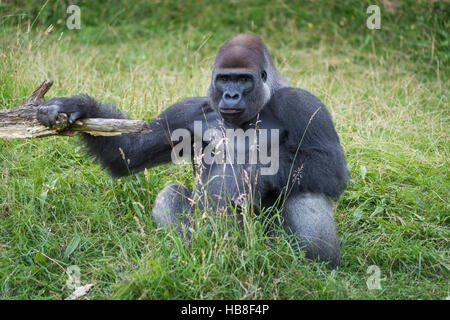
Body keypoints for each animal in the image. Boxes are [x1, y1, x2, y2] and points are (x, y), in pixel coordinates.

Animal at [37, 33, 350, 268]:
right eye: (225, 79)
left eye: (244, 79)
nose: (231, 95)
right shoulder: (186, 110)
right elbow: (129, 151)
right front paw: (77, 105)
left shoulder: (303, 104)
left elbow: (329, 166)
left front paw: (255, 177)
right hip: (215, 235)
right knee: (171, 194)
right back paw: (190, 250)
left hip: (267, 246)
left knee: (306, 190)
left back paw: (311, 267)